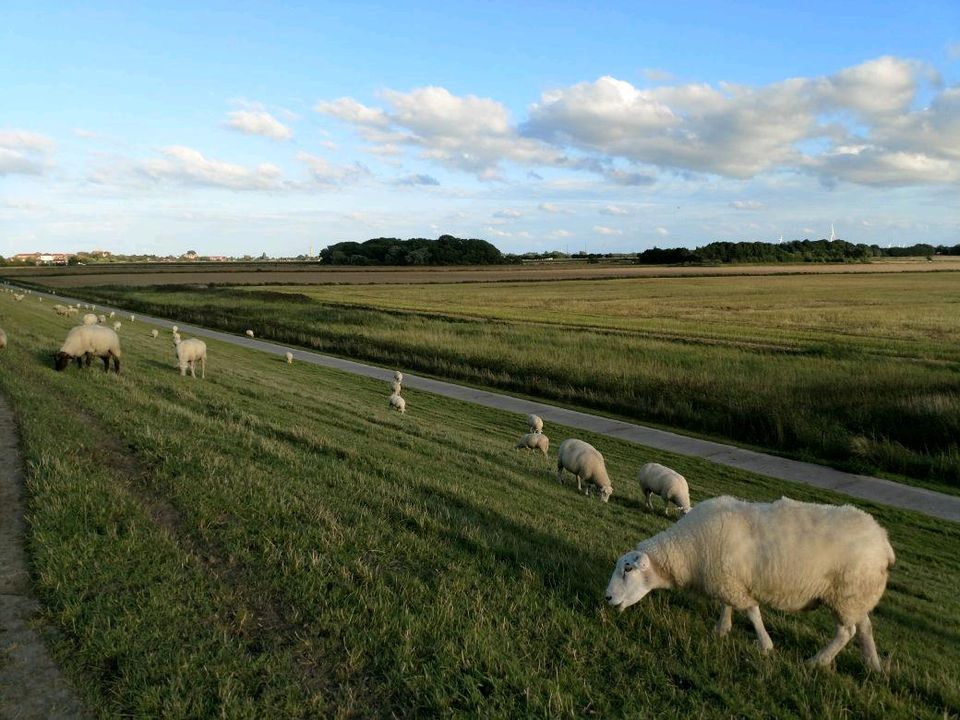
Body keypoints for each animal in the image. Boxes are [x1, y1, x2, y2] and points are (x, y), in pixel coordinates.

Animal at [604, 492, 896, 672]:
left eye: (627, 569)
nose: (607, 598)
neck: (687, 548)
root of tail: (883, 540)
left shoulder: (732, 583)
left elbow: (752, 612)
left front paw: (765, 645)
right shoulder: (726, 579)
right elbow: (727, 606)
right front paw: (721, 629)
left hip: (846, 593)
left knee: (846, 632)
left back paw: (816, 662)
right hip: (857, 596)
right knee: (865, 628)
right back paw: (873, 665)